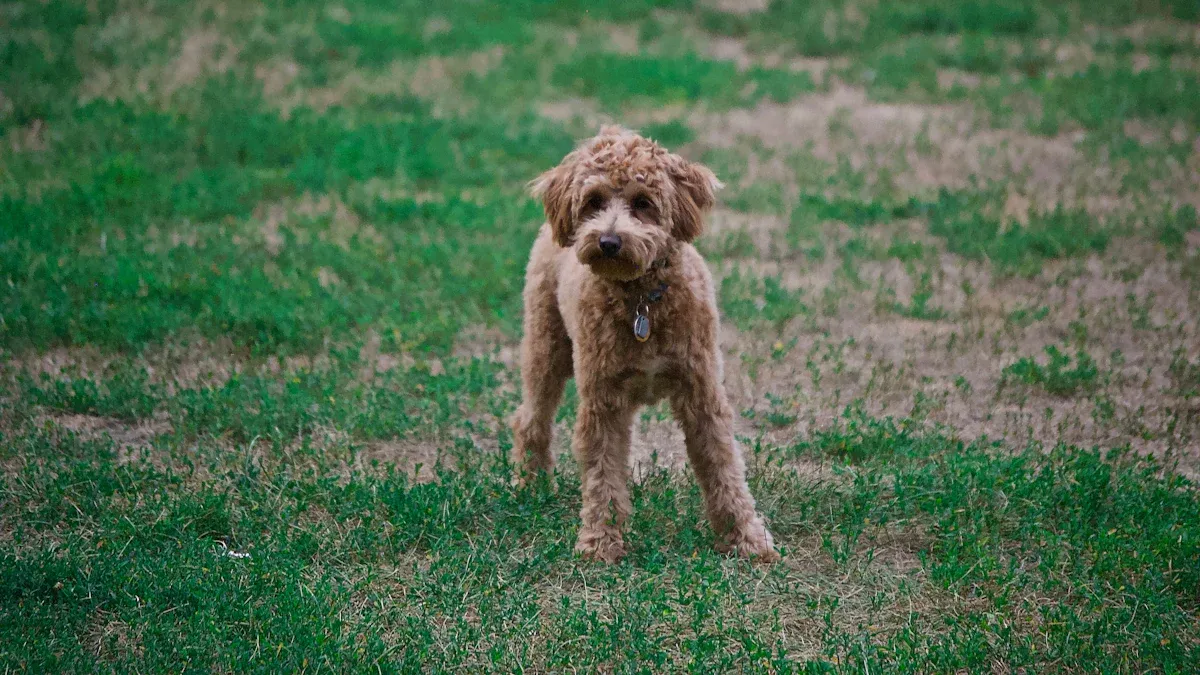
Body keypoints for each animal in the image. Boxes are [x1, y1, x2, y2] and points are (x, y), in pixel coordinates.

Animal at [508, 123, 777, 559]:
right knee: (531, 417)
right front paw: (600, 542)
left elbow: (723, 466)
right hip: (546, 344)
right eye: (594, 201)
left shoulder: (702, 391)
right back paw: (530, 485)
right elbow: (602, 474)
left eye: (643, 202)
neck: (641, 302)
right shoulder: (602, 401)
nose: (608, 242)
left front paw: (746, 536)